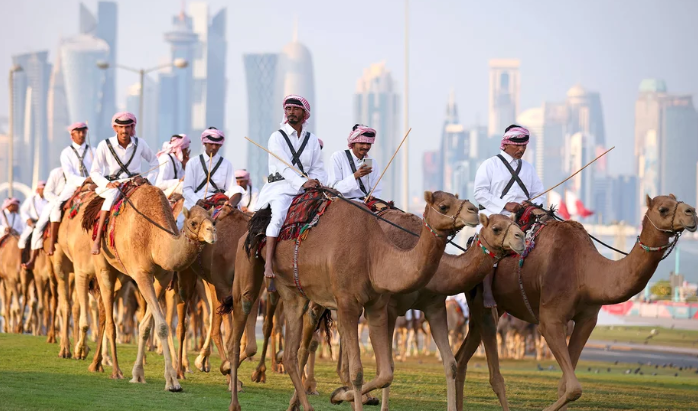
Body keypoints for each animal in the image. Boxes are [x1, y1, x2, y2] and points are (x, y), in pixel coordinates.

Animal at [88, 187, 215, 392]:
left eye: (213, 221)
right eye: (194, 223)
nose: (213, 233)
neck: (156, 241)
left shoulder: (163, 278)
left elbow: (146, 325)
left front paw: (138, 374)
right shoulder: (141, 274)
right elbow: (162, 326)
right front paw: (172, 382)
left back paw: (99, 364)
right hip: (102, 262)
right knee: (109, 319)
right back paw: (114, 370)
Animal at [228, 192, 478, 411]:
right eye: (444, 206)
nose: (474, 210)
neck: (373, 254)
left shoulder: (380, 305)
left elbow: (386, 372)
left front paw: (341, 395)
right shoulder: (349, 303)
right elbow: (357, 371)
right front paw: (346, 395)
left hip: (293, 293)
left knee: (292, 353)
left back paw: (301, 402)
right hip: (249, 264)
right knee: (242, 320)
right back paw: (236, 397)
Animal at [456, 196, 696, 411]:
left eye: (677, 199)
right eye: (663, 209)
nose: (691, 212)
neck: (585, 271)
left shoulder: (587, 319)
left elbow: (565, 386)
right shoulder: (550, 320)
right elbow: (573, 388)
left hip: (493, 307)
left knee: (461, 358)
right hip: (483, 303)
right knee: (493, 372)